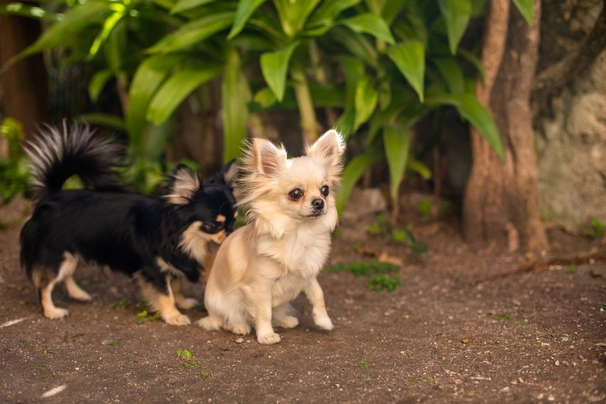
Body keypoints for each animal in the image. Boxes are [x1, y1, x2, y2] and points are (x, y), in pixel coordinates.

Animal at [19, 124, 238, 326]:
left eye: (234, 220)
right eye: (214, 225)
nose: (231, 233)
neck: (181, 236)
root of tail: (52, 195)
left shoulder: (172, 265)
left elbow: (176, 287)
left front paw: (183, 303)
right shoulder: (153, 270)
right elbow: (166, 294)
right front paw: (174, 315)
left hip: (70, 254)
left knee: (66, 275)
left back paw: (78, 294)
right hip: (56, 256)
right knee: (45, 285)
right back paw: (51, 311)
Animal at [200, 129, 346, 344]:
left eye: (325, 190)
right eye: (296, 193)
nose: (319, 202)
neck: (299, 231)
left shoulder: (307, 274)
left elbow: (318, 294)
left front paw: (323, 320)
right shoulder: (260, 286)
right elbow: (263, 312)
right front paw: (266, 335)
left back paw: (285, 320)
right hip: (222, 305)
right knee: (226, 319)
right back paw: (239, 326)